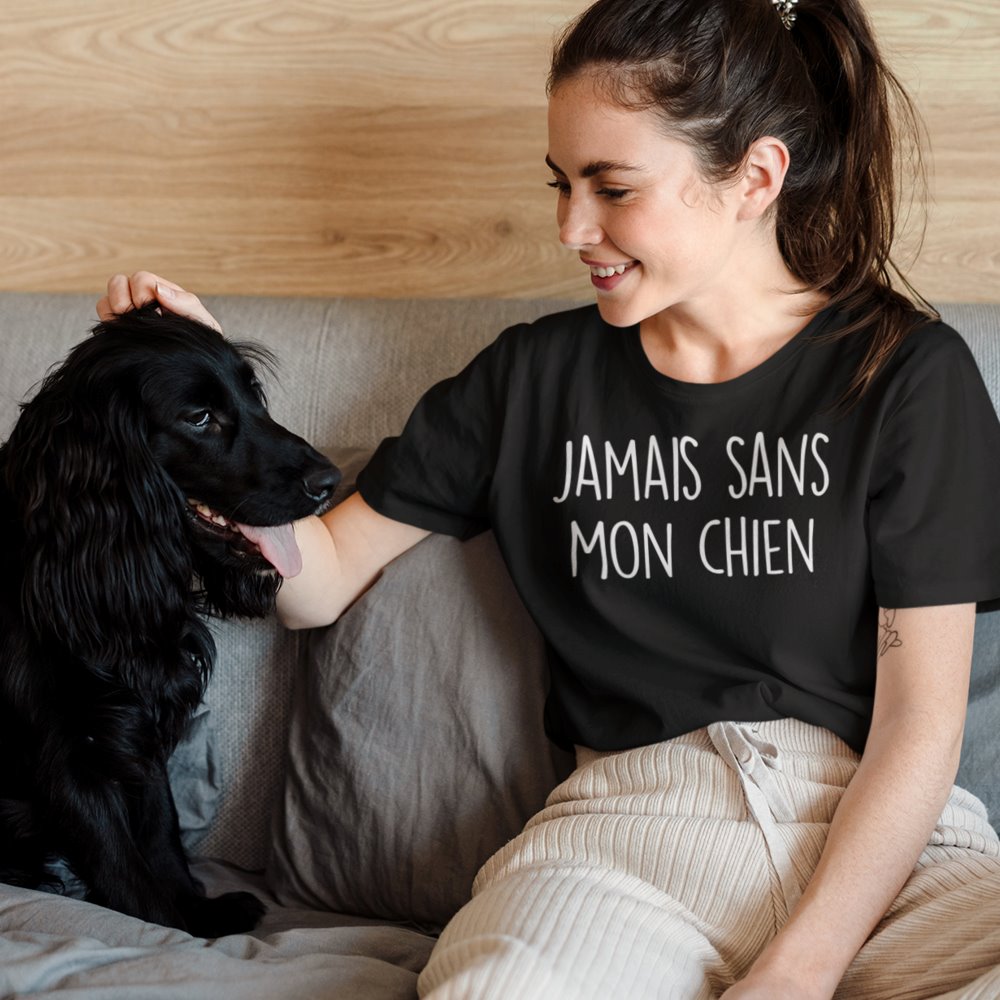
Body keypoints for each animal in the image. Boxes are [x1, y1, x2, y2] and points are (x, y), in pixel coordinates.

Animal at [0, 304, 340, 936]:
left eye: (253, 396)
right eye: (199, 418)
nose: (329, 482)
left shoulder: (140, 718)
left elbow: (161, 831)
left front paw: (194, 907)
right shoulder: (65, 752)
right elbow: (122, 865)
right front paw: (175, 922)